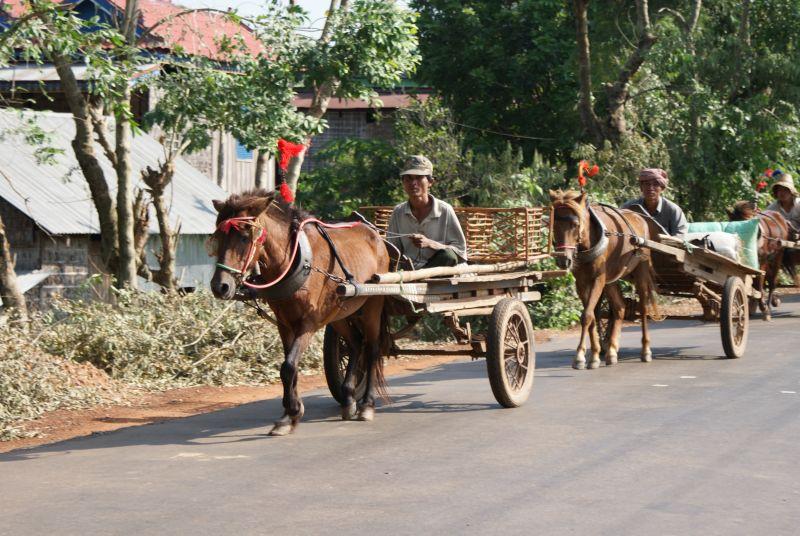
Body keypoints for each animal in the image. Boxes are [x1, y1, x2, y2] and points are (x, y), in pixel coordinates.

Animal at [209, 188, 390, 436]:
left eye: (245, 237)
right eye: (218, 237)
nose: (220, 286)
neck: (293, 261)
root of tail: (376, 236)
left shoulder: (308, 323)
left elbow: (289, 366)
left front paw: (293, 411)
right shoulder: (284, 323)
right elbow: (288, 367)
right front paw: (289, 415)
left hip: (373, 303)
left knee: (371, 348)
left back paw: (367, 405)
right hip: (340, 312)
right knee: (355, 343)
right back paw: (348, 398)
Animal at [548, 188, 660, 368]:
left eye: (575, 224)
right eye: (553, 224)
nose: (563, 260)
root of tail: (640, 218)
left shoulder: (598, 279)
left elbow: (587, 315)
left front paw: (579, 357)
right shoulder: (582, 282)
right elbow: (592, 316)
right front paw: (594, 355)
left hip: (641, 270)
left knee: (643, 308)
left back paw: (645, 350)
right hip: (611, 280)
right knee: (620, 308)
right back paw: (612, 351)